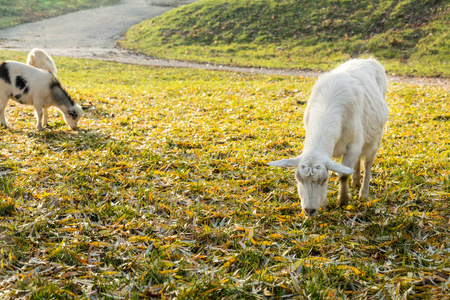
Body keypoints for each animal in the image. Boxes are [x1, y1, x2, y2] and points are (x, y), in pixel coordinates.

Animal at [268, 58, 388, 217]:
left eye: (324, 179)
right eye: (298, 177)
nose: (309, 210)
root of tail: (369, 60)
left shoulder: (353, 146)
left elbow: (343, 175)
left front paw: (343, 200)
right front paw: (324, 203)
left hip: (375, 137)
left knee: (368, 163)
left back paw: (363, 191)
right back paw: (356, 182)